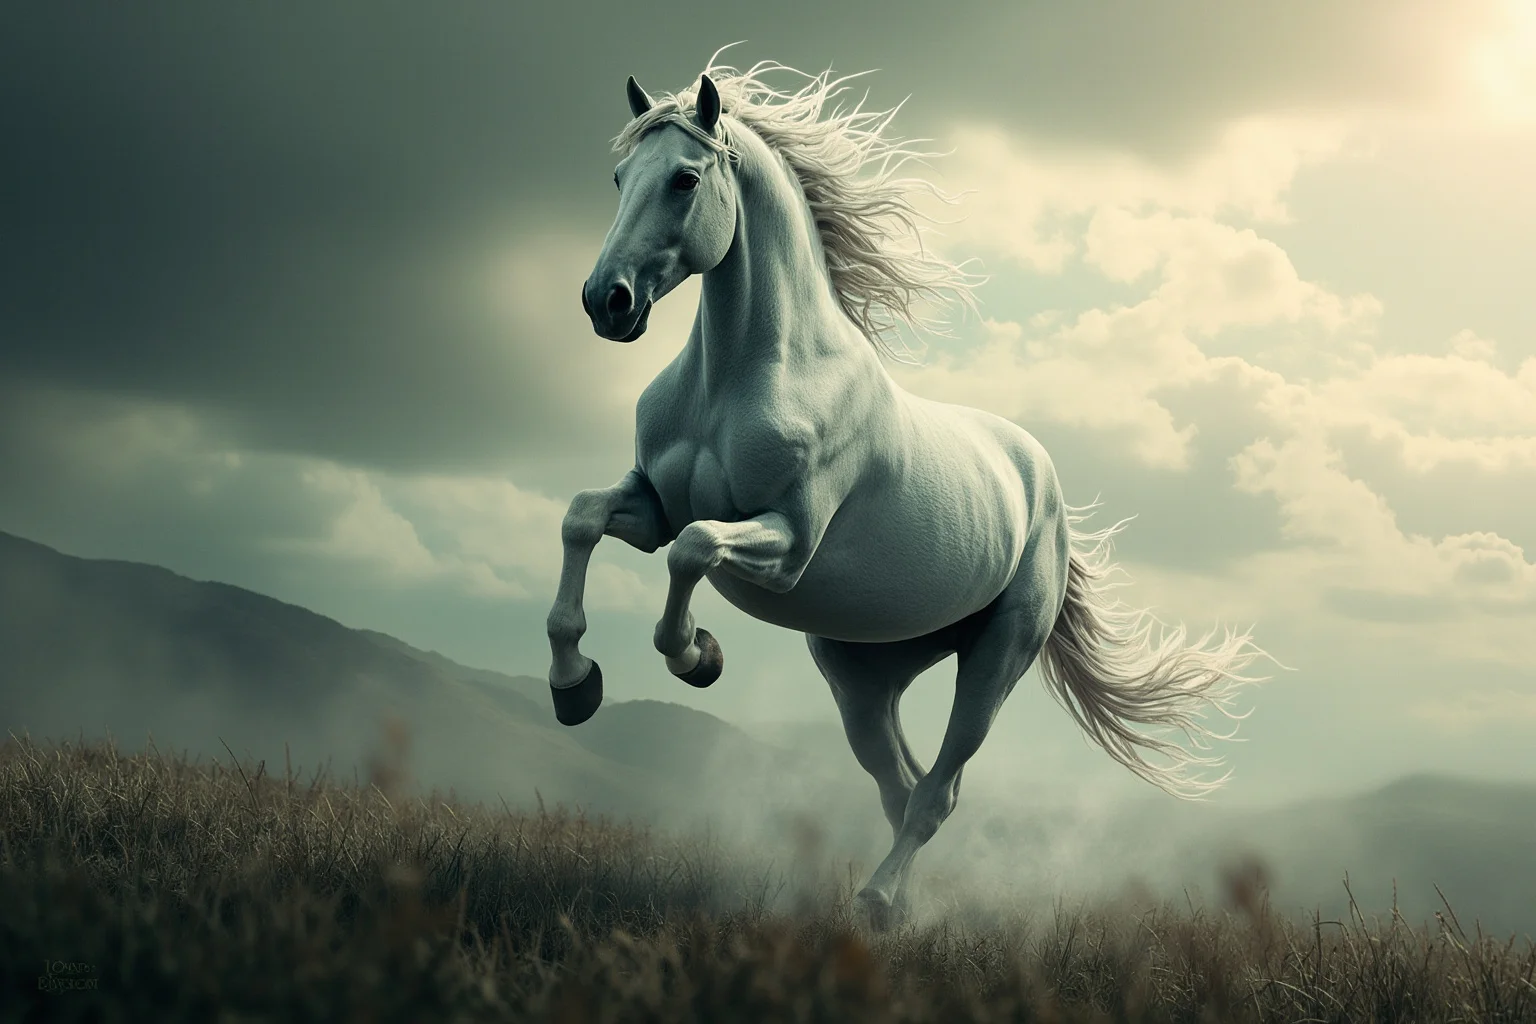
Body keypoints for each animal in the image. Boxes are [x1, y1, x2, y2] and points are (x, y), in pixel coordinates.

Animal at [545, 56, 1267, 929]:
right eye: (621, 177)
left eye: (684, 179)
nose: (605, 301)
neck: (740, 379)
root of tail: (1045, 485)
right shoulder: (649, 504)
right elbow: (583, 520)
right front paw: (574, 684)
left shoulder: (787, 541)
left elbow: (695, 548)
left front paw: (696, 655)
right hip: (863, 675)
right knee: (900, 784)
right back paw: (896, 910)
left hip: (994, 659)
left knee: (935, 793)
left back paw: (879, 902)